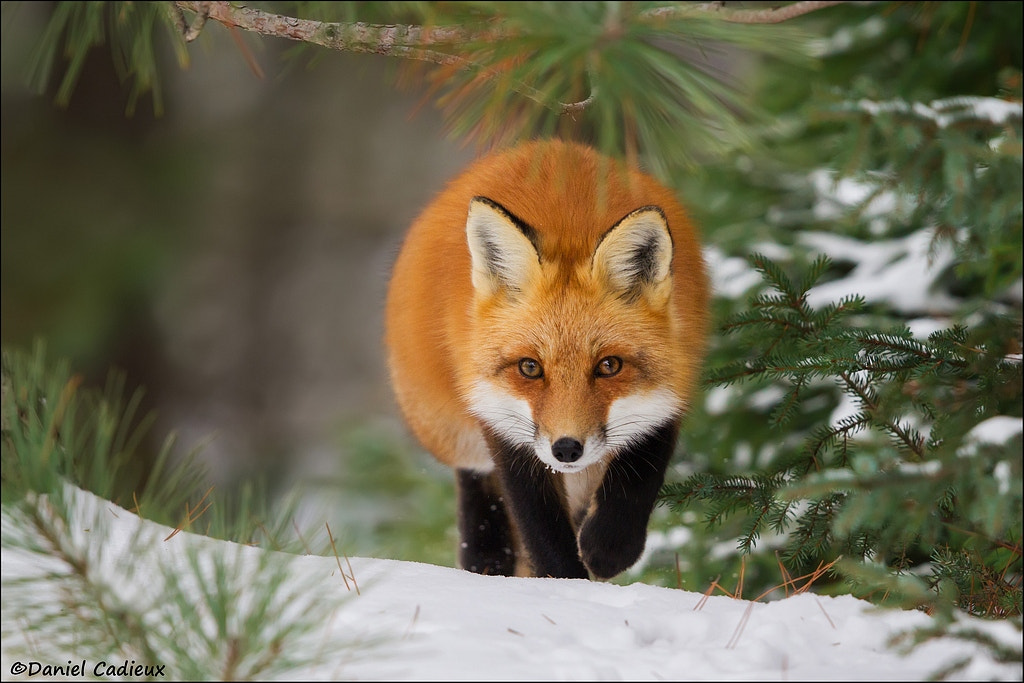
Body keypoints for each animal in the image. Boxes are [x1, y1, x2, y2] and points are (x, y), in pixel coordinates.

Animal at [384, 139, 708, 580]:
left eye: (609, 366)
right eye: (530, 368)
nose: (566, 450)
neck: (570, 222)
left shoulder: (676, 377)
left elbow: (641, 471)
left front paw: (608, 546)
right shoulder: (501, 418)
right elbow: (539, 525)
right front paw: (565, 584)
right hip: (447, 427)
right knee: (476, 483)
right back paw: (486, 561)